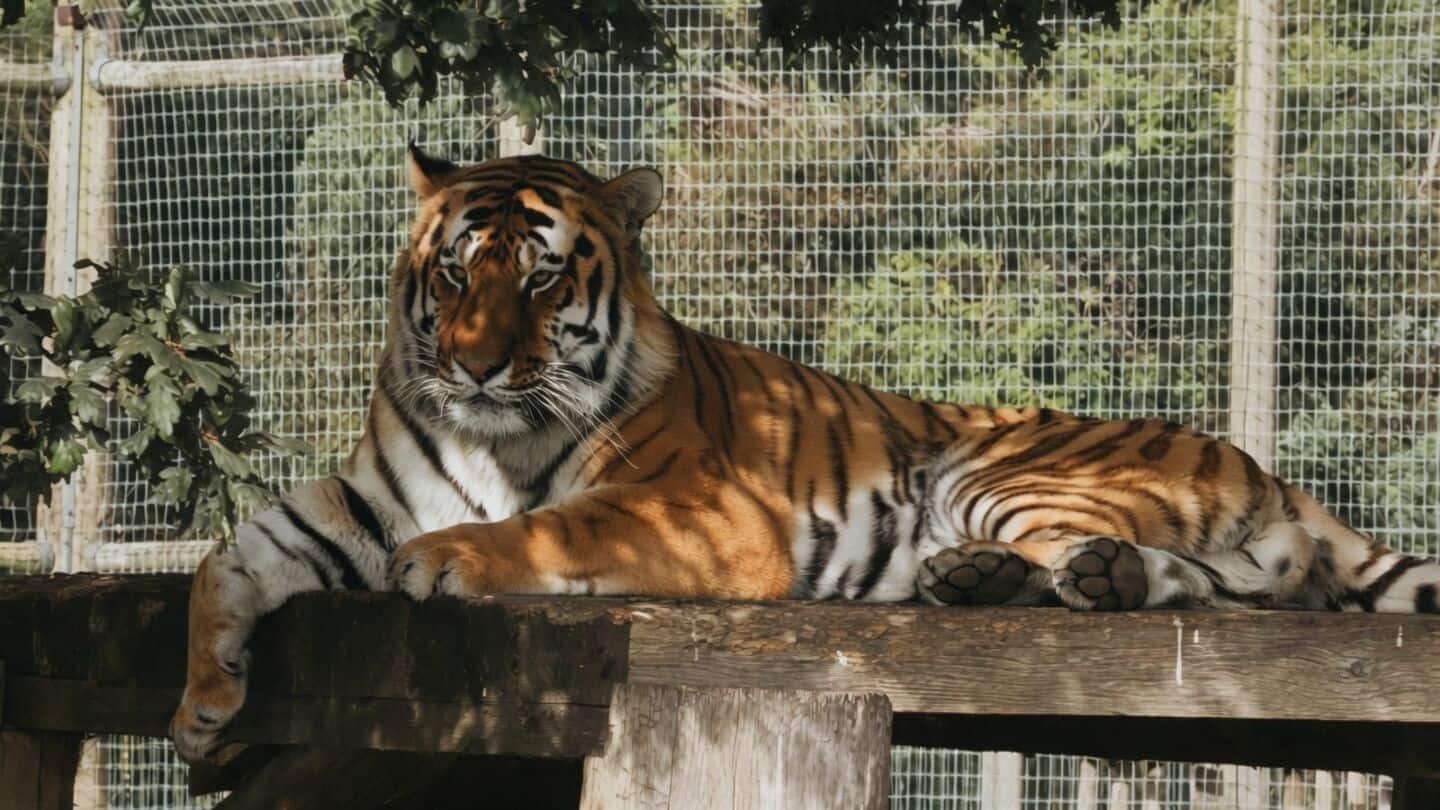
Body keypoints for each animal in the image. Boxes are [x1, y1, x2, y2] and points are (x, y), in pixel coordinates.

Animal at [170, 147, 1440, 763]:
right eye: (450, 275)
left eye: (537, 278)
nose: (477, 367)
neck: (482, 432)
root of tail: (1263, 466)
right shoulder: (359, 497)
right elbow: (229, 557)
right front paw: (202, 704)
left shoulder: (701, 511)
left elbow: (551, 523)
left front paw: (451, 560)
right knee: (1233, 583)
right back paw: (1003, 580)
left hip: (995, 468)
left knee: (1214, 579)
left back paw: (1038, 577)